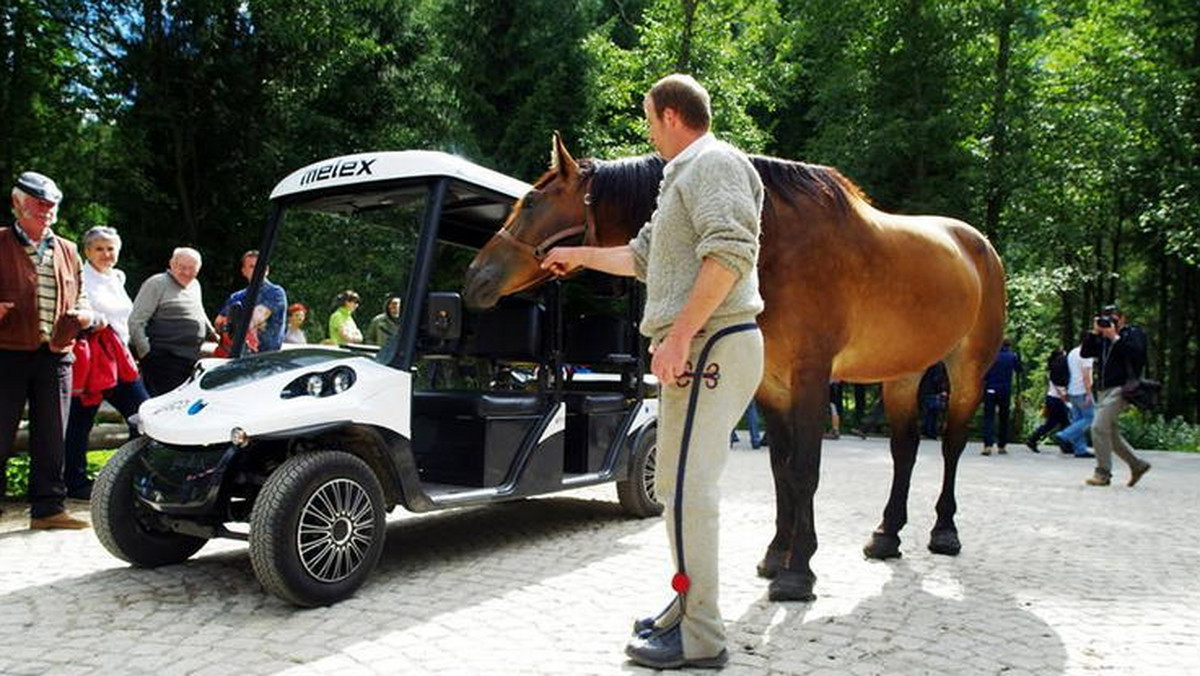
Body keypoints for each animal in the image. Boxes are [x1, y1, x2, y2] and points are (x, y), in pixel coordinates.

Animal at [458, 133, 1003, 602]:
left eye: (531, 201)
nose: (473, 278)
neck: (776, 244)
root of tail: (977, 244)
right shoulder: (773, 383)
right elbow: (782, 470)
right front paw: (776, 555)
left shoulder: (810, 378)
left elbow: (805, 470)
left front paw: (799, 572)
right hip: (902, 374)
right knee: (905, 450)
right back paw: (887, 534)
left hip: (967, 371)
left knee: (951, 445)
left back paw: (944, 530)